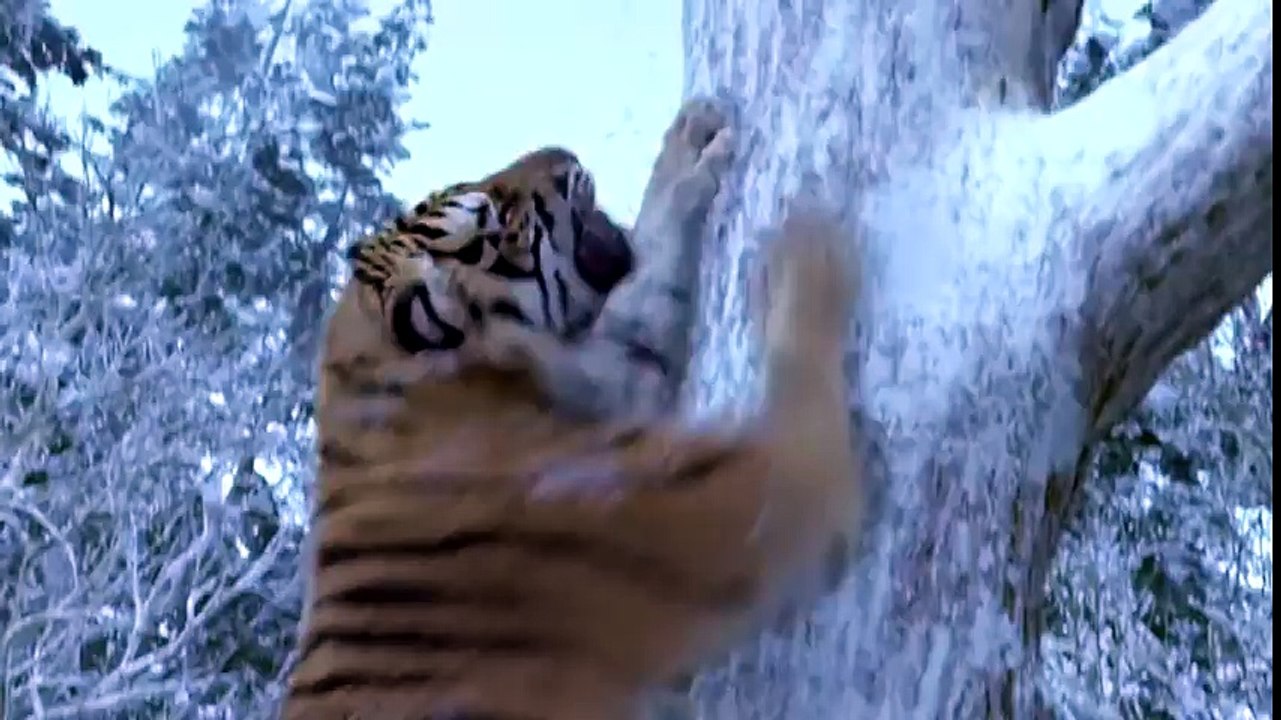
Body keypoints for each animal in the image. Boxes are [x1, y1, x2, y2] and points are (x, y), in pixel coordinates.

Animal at [285, 97, 866, 720]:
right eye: (491, 217)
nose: (563, 155)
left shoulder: (613, 375)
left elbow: (646, 289)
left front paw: (684, 148)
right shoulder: (718, 499)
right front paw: (801, 246)